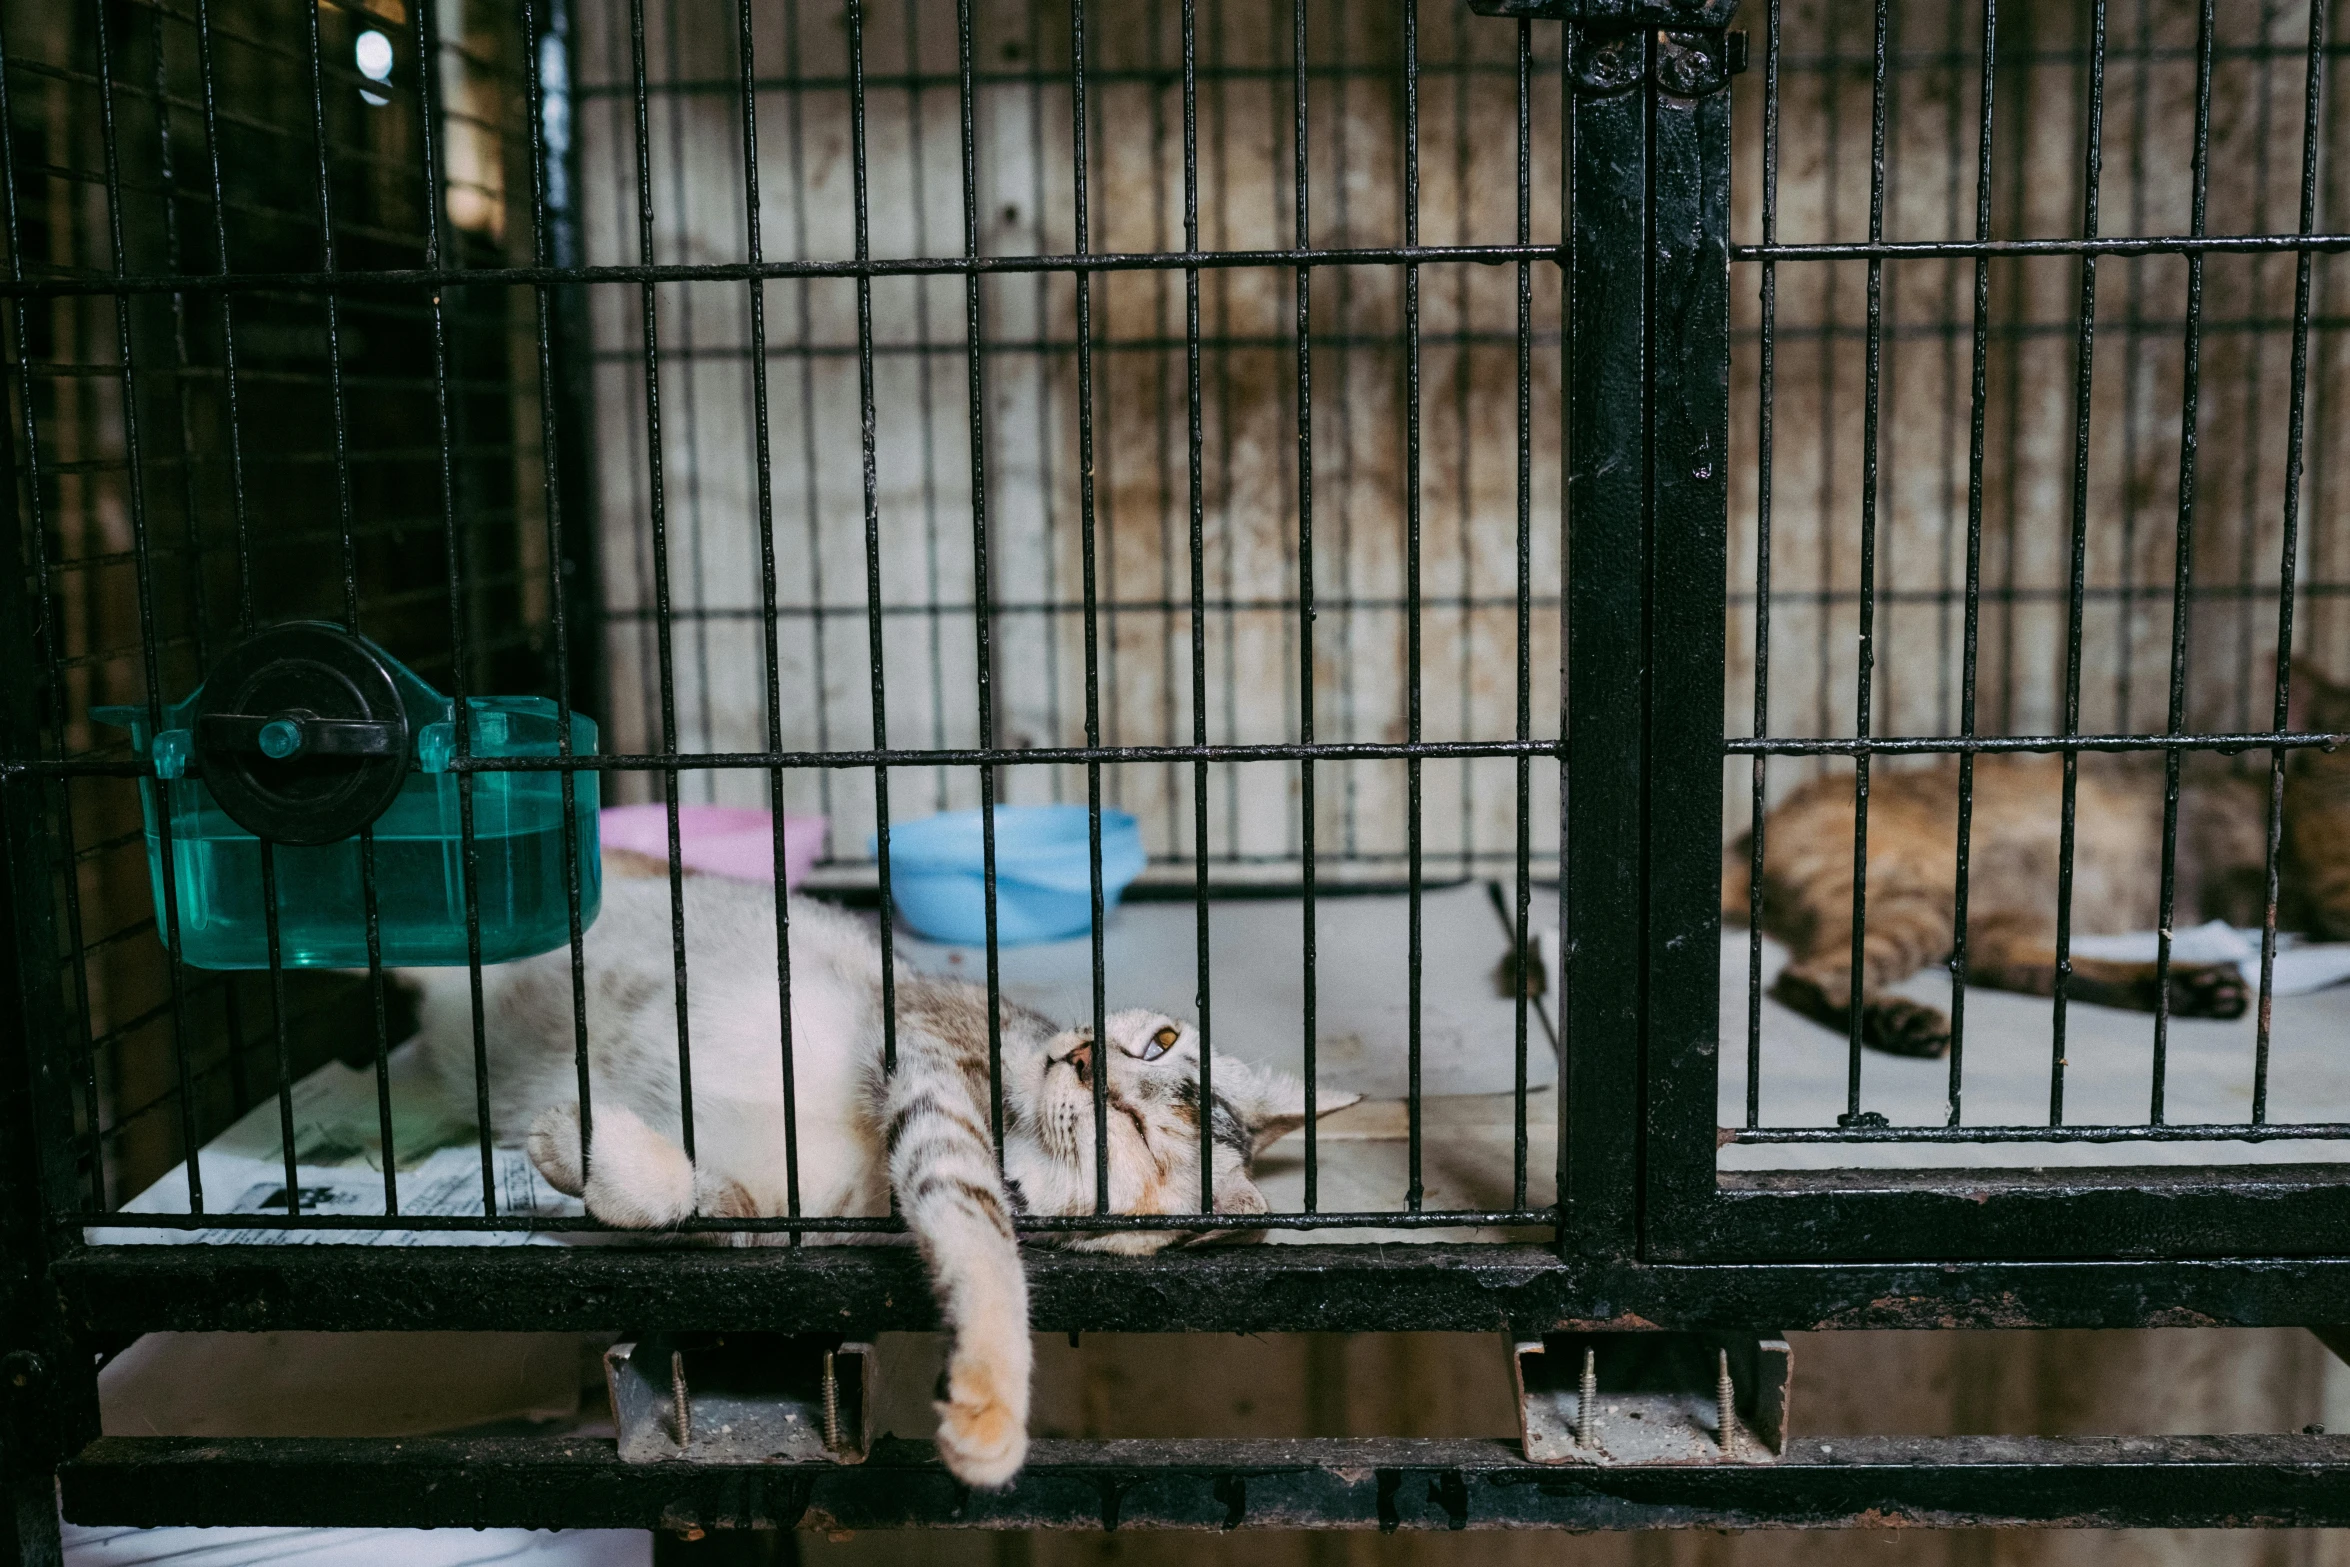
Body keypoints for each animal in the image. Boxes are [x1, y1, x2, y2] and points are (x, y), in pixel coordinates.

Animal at [404, 864, 1344, 1494]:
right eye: (1157, 1041)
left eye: (1140, 1136)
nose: (1080, 1056)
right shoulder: (928, 1056)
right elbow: (979, 1232)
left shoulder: (791, 1203)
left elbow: (709, 1201)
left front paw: (587, 1147)